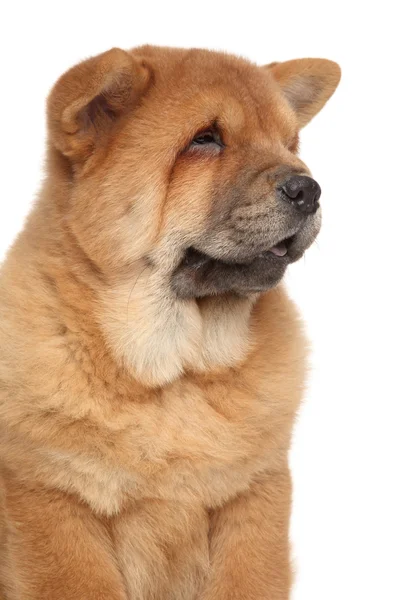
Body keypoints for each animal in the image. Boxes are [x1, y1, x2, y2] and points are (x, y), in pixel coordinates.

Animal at [0, 44, 340, 596]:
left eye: (290, 144)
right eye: (205, 139)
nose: (308, 189)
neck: (176, 372)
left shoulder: (255, 493)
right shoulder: (52, 495)